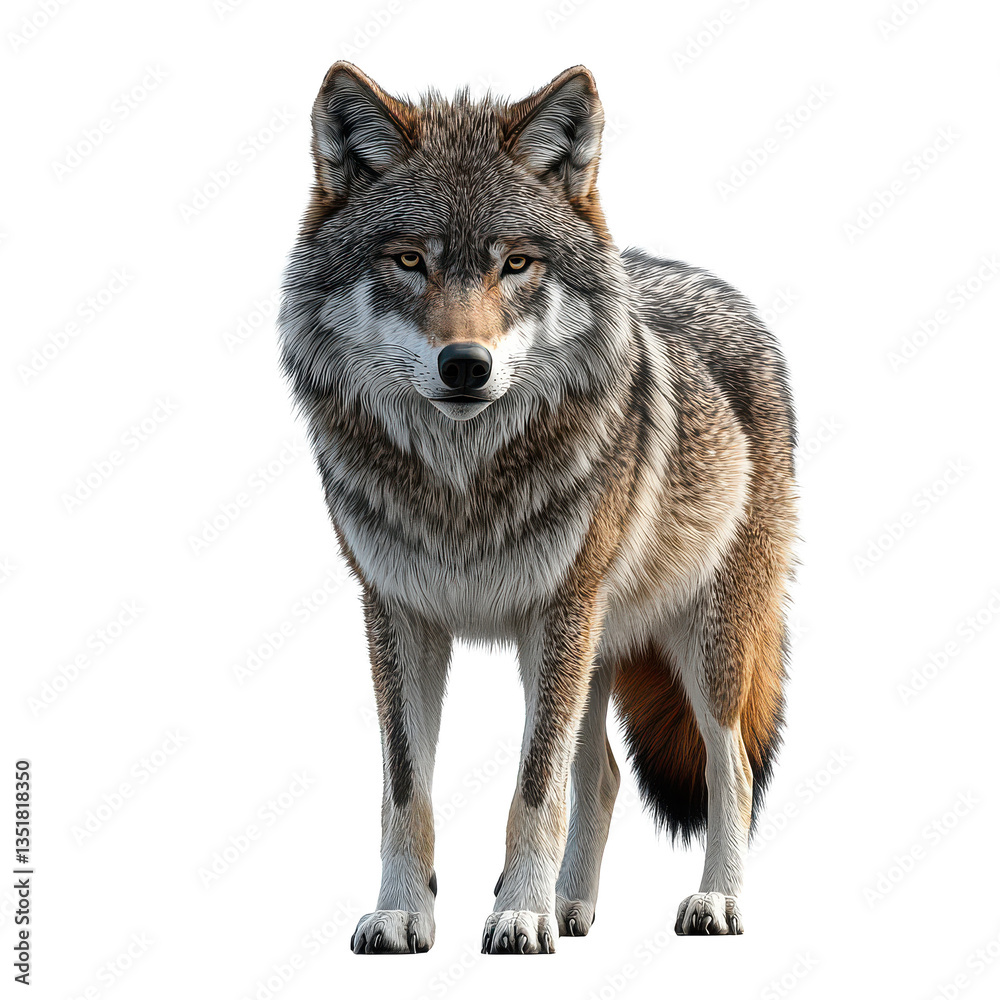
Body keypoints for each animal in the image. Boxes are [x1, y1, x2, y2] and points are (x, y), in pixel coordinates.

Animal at [278, 62, 797, 954]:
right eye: (409, 260)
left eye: (515, 264)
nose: (465, 365)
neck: (461, 485)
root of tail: (716, 286)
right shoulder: (398, 612)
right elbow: (406, 788)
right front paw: (404, 912)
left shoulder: (556, 612)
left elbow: (533, 786)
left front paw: (518, 914)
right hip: (596, 648)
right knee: (605, 773)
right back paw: (573, 906)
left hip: (701, 640)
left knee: (727, 766)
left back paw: (715, 903)